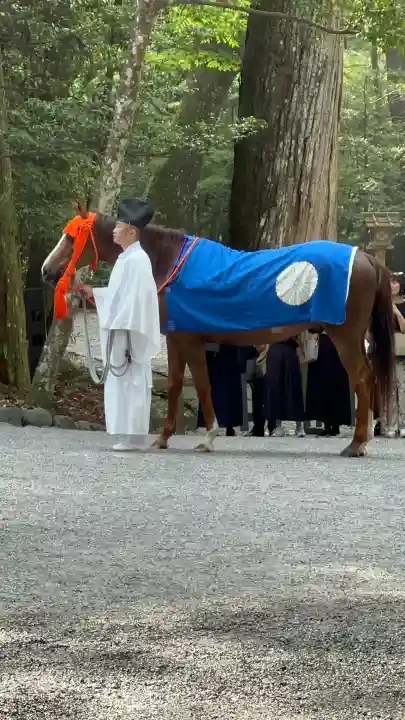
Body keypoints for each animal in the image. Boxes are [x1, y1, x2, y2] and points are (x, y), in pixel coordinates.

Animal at [42, 204, 395, 458]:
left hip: (345, 335)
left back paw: (356, 444)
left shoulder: (189, 339)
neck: (170, 262)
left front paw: (208, 437)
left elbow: (201, 384)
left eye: (71, 238)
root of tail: (366, 257)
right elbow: (174, 384)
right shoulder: (175, 338)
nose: (47, 271)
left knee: (361, 379)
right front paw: (163, 437)